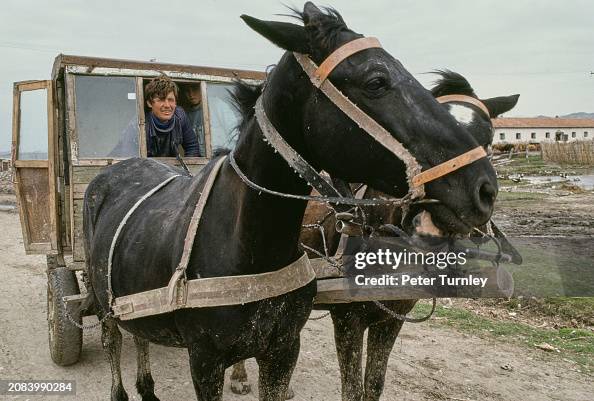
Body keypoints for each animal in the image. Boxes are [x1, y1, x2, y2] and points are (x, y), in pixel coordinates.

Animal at [228, 71, 520, 400]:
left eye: (488, 140)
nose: (428, 223)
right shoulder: (347, 319)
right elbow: (354, 389)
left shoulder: (391, 319)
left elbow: (375, 385)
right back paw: (239, 376)